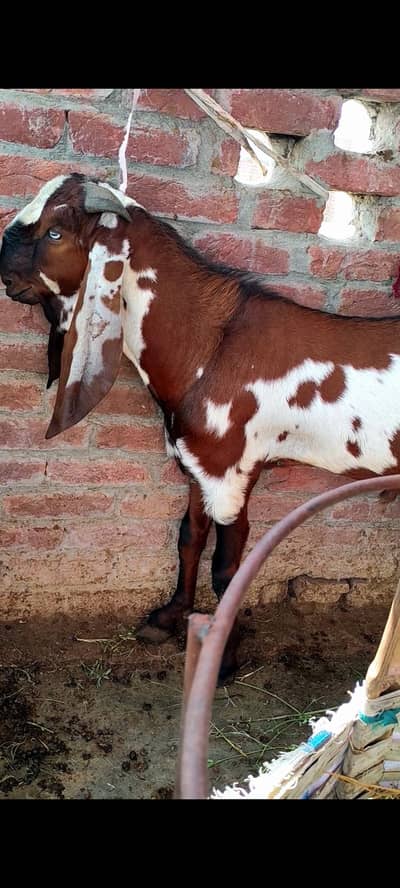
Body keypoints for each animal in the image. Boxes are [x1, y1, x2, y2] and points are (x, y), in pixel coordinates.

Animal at [1, 171, 400, 681]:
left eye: (54, 232)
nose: (4, 275)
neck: (211, 347)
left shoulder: (231, 472)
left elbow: (227, 567)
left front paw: (223, 659)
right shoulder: (196, 465)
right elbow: (189, 538)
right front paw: (168, 618)